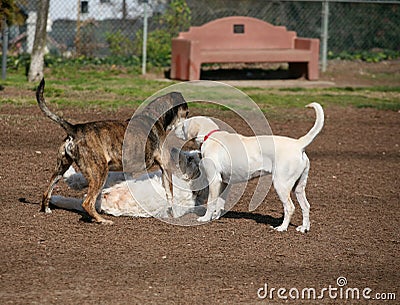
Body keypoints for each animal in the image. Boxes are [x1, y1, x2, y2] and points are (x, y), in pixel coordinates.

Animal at [36, 78, 188, 223]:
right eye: (186, 112)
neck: (154, 116)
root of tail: (74, 129)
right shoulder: (165, 167)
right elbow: (170, 194)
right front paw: (173, 213)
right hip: (99, 172)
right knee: (87, 202)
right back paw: (102, 220)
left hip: (61, 168)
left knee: (47, 191)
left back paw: (47, 209)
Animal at [175, 102, 324, 233]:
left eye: (183, 126)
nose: (174, 127)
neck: (210, 135)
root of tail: (299, 144)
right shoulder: (224, 182)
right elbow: (220, 203)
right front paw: (216, 217)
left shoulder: (214, 179)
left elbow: (211, 202)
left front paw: (205, 218)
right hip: (298, 187)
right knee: (306, 206)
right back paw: (304, 228)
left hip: (281, 185)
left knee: (290, 207)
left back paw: (282, 228)